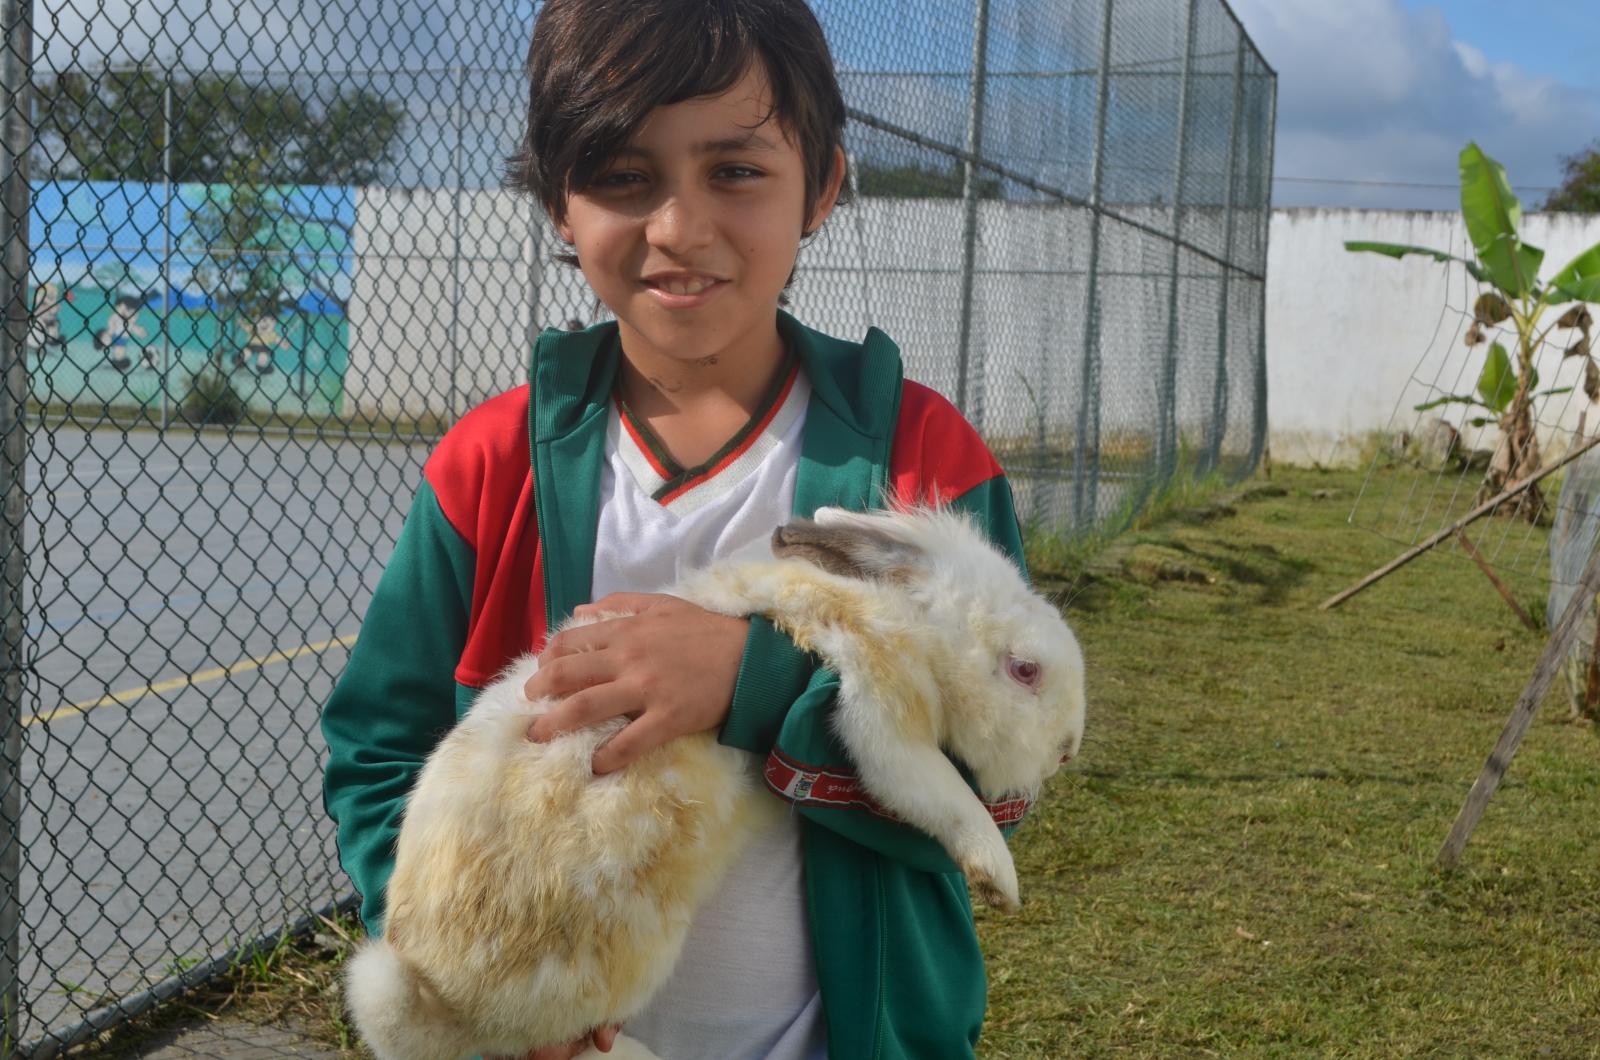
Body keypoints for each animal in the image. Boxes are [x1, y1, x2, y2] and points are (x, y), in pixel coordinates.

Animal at [342, 509, 1081, 1060]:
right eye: (1024, 671)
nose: (1067, 752)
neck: (923, 626)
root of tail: (435, 1000)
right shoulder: (882, 710)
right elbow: (939, 794)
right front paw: (1000, 879)